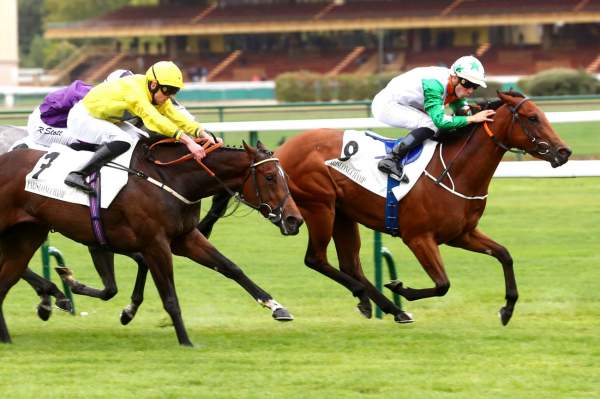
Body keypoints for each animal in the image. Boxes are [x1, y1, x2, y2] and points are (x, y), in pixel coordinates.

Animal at [0, 139, 302, 346]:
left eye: (285, 176)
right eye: (270, 177)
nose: (294, 220)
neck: (171, 181)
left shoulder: (184, 237)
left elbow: (231, 268)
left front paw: (276, 307)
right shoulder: (155, 244)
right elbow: (169, 296)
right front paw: (185, 340)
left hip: (27, 234)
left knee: (8, 276)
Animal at [196, 92, 572, 326]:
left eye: (542, 115)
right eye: (532, 118)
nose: (564, 152)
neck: (455, 170)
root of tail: (281, 153)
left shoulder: (462, 233)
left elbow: (504, 254)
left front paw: (507, 308)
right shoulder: (418, 237)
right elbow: (442, 283)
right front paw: (400, 287)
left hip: (343, 214)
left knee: (349, 264)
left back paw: (384, 307)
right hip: (320, 207)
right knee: (317, 259)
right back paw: (378, 300)